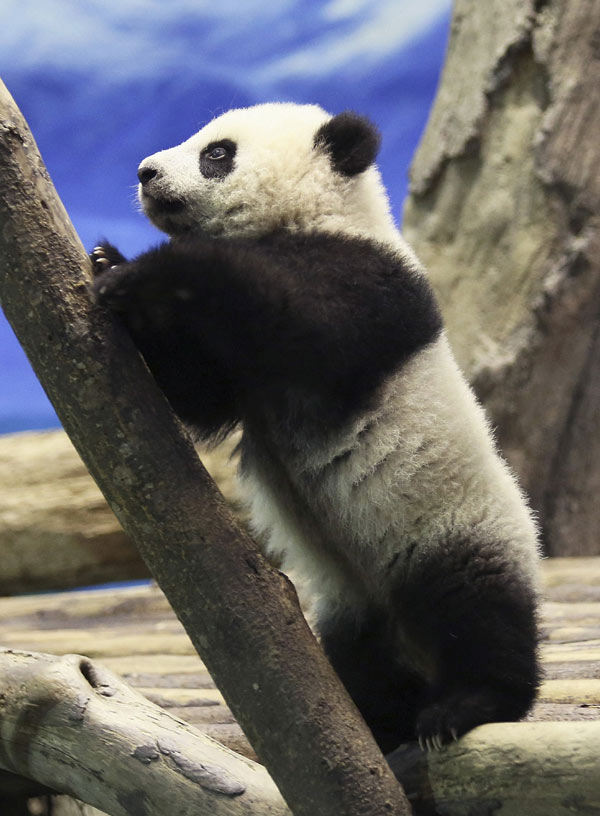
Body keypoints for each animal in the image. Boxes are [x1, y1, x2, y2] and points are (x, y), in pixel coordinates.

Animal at [91, 102, 541, 753]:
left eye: (217, 153)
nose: (146, 172)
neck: (325, 213)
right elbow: (195, 394)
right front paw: (111, 269)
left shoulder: (371, 284)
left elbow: (299, 316)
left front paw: (146, 269)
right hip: (353, 610)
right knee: (365, 662)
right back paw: (379, 724)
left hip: (458, 529)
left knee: (479, 615)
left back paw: (465, 706)